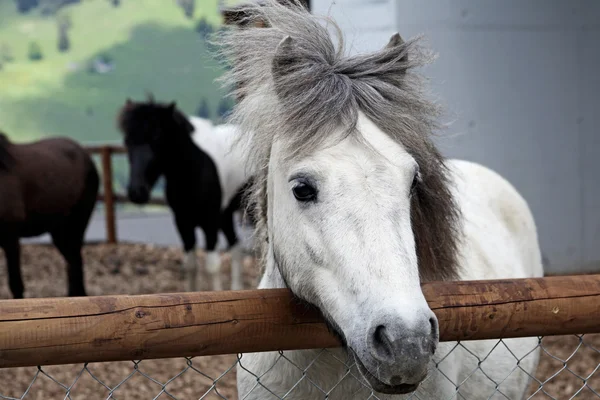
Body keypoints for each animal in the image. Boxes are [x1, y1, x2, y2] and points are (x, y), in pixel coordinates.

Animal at [0, 133, 99, 298]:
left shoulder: (11, 237)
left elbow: (16, 285)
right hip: (60, 231)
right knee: (73, 263)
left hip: (77, 224)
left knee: (75, 263)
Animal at [117, 97, 253, 290]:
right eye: (127, 141)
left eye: (157, 138)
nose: (137, 192)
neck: (194, 166)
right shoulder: (183, 222)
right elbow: (190, 265)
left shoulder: (209, 222)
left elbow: (212, 266)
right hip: (225, 215)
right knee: (236, 246)